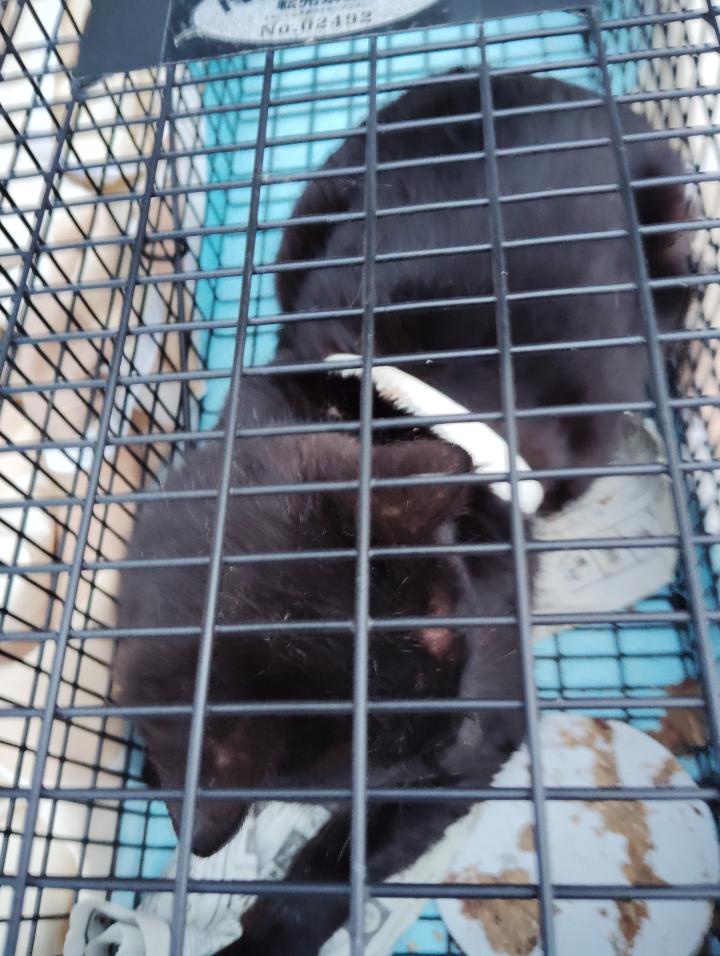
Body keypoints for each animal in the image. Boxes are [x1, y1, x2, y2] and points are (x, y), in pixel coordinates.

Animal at [115, 70, 691, 956]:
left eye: (458, 651)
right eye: (380, 754)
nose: (465, 738)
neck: (370, 413)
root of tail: (565, 86)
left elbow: (341, 862)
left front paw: (269, 936)